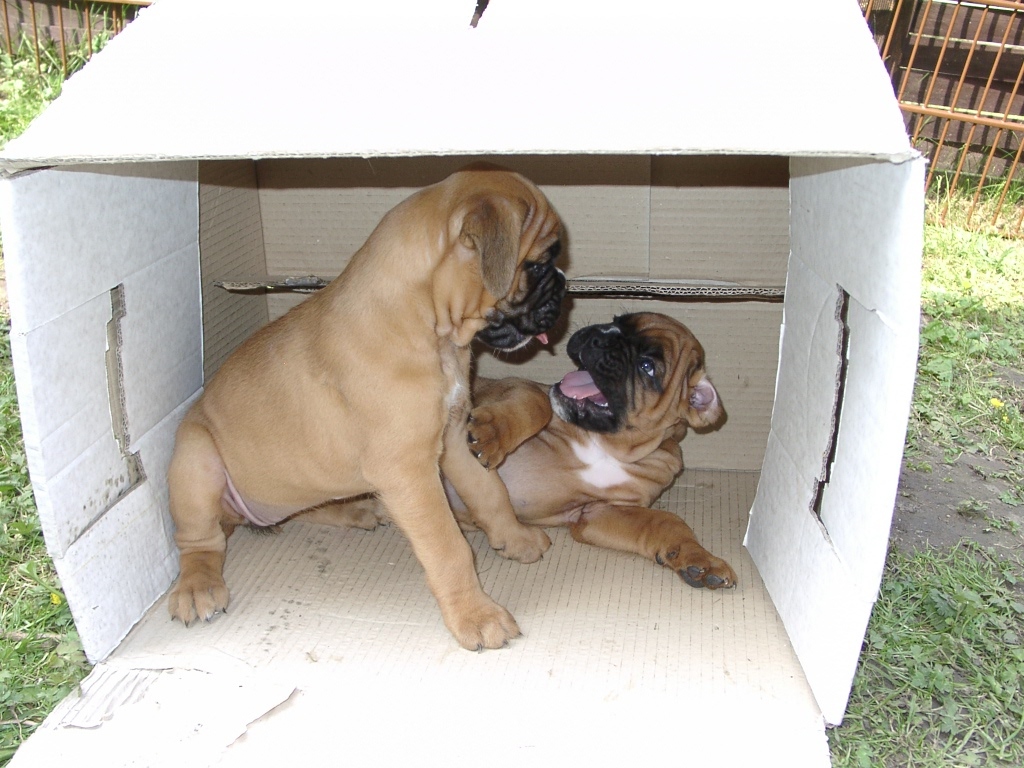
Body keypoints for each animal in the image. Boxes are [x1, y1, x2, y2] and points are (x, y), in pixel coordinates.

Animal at [166, 167, 566, 651]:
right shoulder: (409, 471)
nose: (565, 288)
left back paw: (356, 512)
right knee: (199, 543)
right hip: (196, 461)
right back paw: (197, 586)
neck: (428, 325)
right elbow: (448, 547)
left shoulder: (452, 439)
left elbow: (491, 493)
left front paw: (515, 537)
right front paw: (476, 614)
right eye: (539, 264)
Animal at [455, 312, 737, 588]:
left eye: (647, 366)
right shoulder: (516, 386)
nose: (600, 338)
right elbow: (538, 403)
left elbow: (666, 521)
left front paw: (700, 559)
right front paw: (491, 433)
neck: (604, 443)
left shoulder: (599, 512)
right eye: (616, 320)